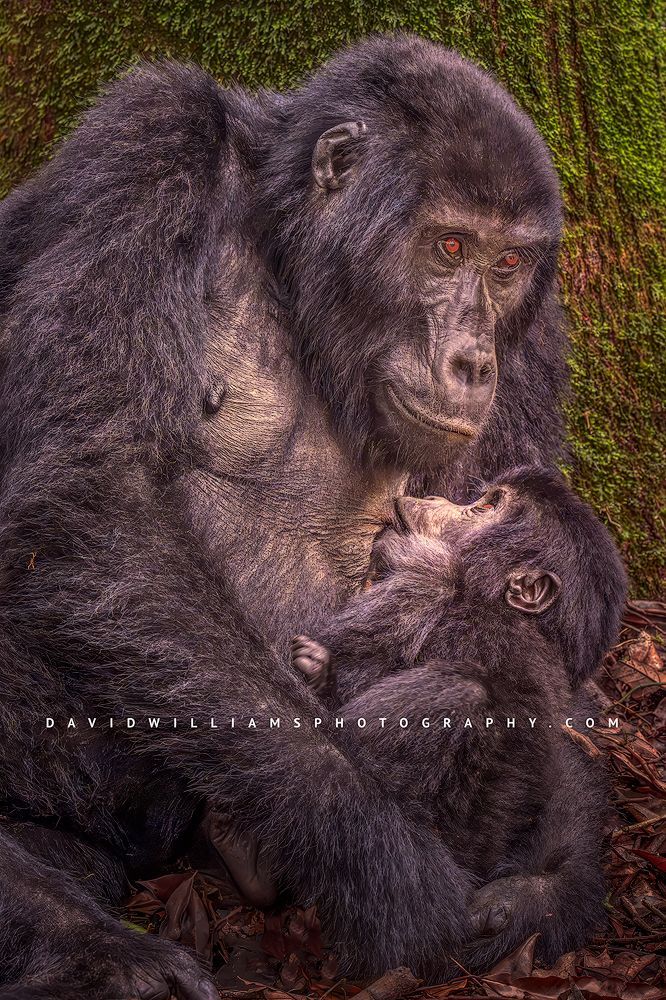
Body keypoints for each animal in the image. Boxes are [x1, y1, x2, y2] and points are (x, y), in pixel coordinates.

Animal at [0, 33, 570, 994]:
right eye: (450, 244)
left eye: (506, 266)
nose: (471, 358)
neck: (290, 264)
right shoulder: (145, 149)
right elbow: (92, 480)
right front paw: (374, 853)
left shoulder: (534, 337)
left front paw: (536, 886)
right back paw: (79, 931)